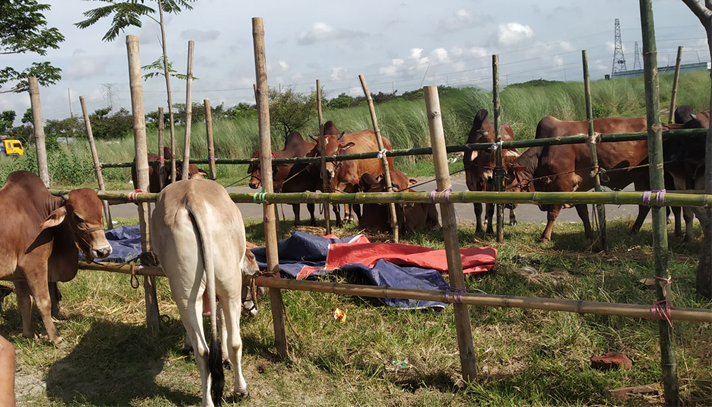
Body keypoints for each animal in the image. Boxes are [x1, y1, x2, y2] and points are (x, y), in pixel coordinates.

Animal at [151, 180, 258, 406]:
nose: (254, 311)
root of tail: (194, 198)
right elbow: (221, 320)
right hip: (230, 287)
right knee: (234, 342)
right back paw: (241, 390)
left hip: (186, 292)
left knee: (204, 351)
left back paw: (207, 400)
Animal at [506, 115, 652, 242]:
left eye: (509, 179)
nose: (507, 204)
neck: (543, 151)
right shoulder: (576, 188)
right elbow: (583, 212)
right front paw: (589, 235)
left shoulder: (563, 185)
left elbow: (552, 213)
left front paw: (545, 237)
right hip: (641, 178)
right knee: (644, 206)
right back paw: (633, 230)